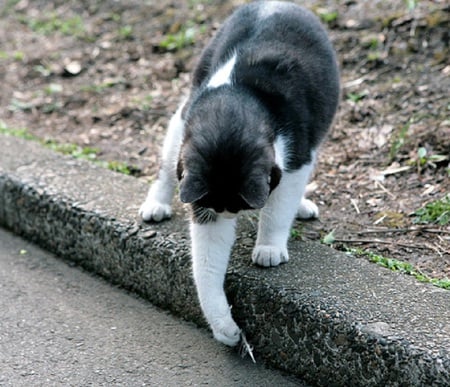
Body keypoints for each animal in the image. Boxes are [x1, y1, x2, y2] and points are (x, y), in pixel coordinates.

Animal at [139, 0, 340, 348]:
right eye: (222, 208)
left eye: (237, 206)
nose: (230, 215)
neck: (239, 96)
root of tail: (278, 3)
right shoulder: (203, 199)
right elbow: (207, 261)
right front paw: (223, 324)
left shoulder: (295, 160)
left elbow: (279, 208)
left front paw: (269, 247)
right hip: (179, 122)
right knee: (166, 169)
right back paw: (157, 204)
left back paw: (300, 207)